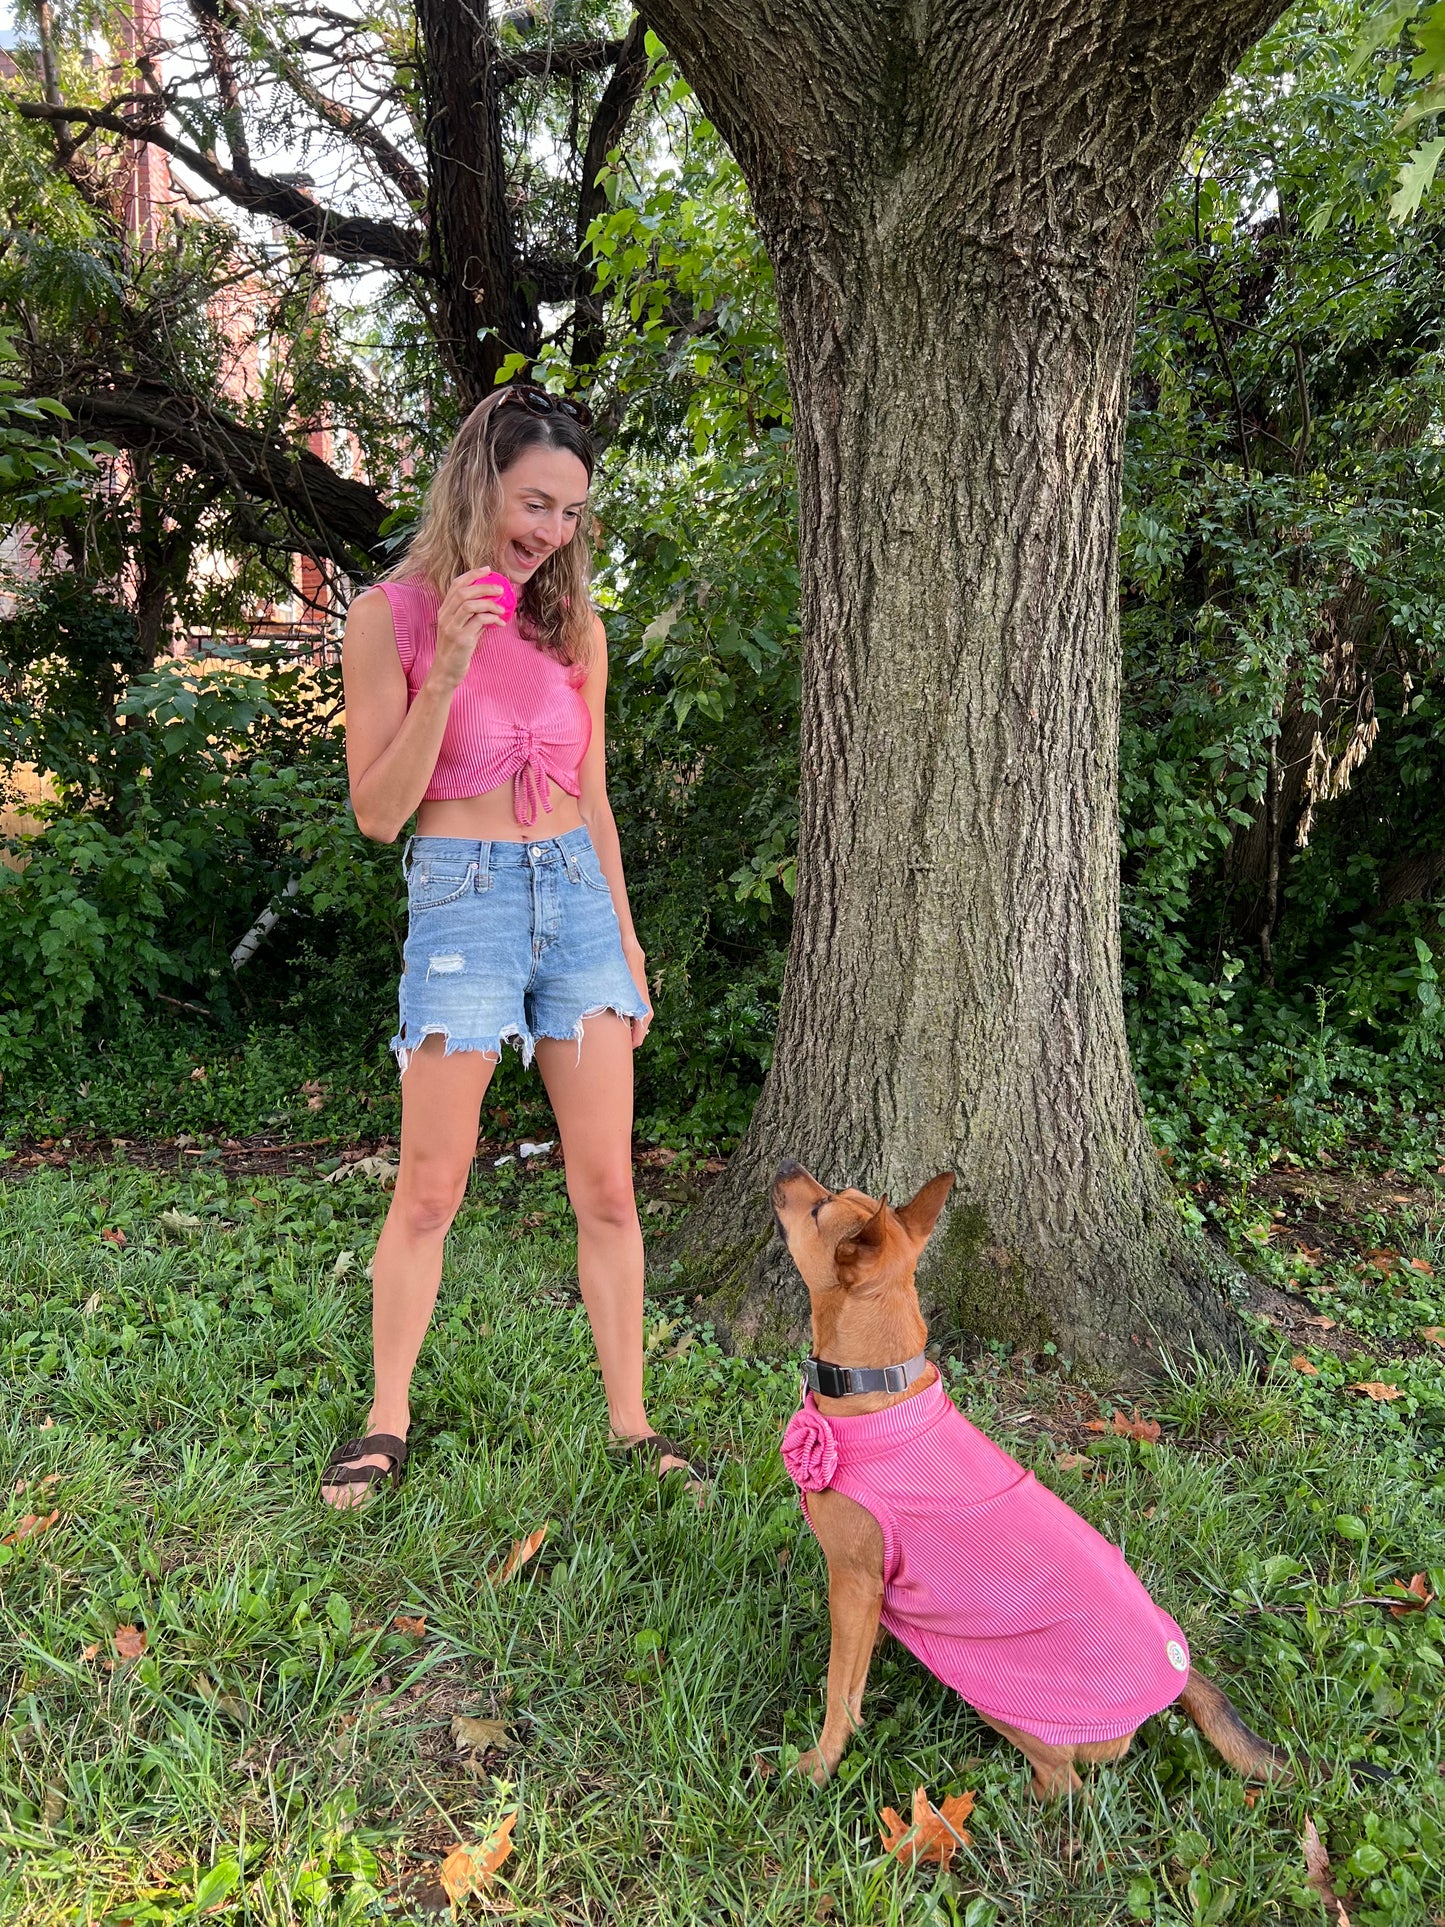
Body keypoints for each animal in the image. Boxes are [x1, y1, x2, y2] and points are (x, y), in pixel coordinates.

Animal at [774, 1148, 1294, 1795]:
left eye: (820, 1209)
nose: (787, 1163)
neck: (878, 1388)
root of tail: (1175, 1674)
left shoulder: (854, 1581)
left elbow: (840, 1690)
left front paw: (821, 1764)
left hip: (1002, 1695)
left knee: (1065, 1783)